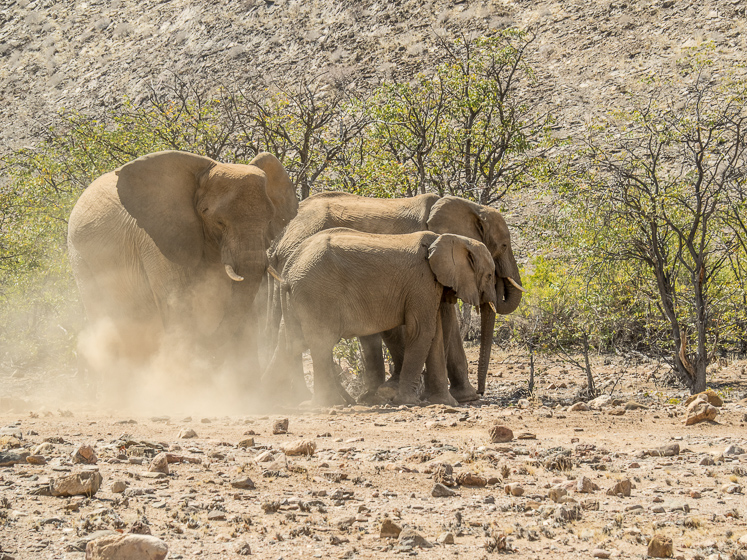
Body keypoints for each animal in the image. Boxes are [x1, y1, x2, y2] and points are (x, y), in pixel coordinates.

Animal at [265, 191, 523, 402]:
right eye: (503, 245)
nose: (481, 391)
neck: (470, 206)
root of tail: (280, 241)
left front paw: (459, 397)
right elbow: (441, 321)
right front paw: (464, 397)